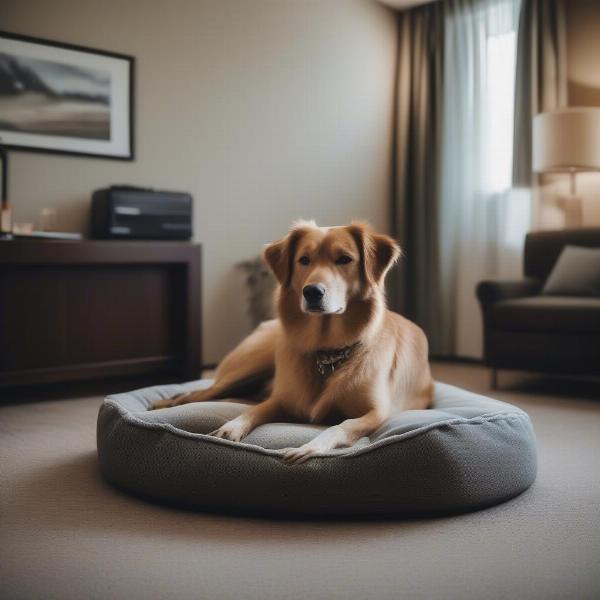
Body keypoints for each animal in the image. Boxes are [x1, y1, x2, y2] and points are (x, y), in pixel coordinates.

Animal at [154, 220, 432, 464]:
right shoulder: (281, 400)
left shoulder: (377, 413)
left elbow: (342, 425)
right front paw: (231, 427)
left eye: (344, 259)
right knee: (200, 392)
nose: (312, 292)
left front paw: (310, 447)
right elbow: (254, 410)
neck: (327, 351)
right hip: (251, 365)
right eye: (304, 260)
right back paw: (165, 402)